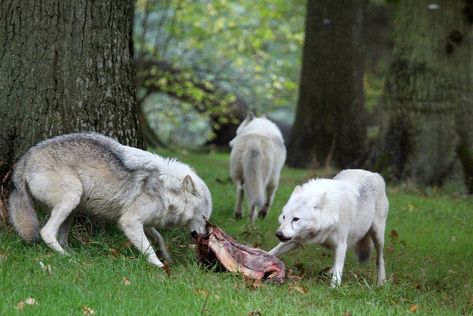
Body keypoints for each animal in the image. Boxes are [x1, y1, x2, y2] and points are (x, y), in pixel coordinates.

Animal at [8, 132, 212, 268]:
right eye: (204, 217)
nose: (206, 236)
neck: (166, 188)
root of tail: (25, 159)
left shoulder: (141, 221)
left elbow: (159, 238)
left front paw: (167, 257)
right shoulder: (129, 221)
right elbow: (148, 248)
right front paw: (160, 266)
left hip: (73, 208)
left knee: (60, 236)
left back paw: (77, 254)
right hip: (72, 197)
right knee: (47, 232)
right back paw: (67, 257)